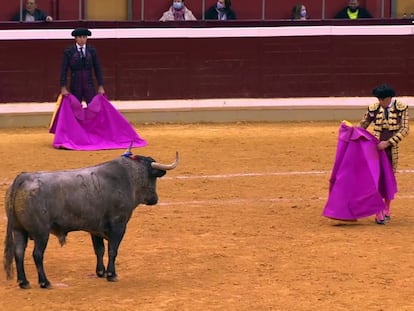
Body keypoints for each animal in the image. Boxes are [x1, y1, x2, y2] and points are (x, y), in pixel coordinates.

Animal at [3, 154, 178, 290]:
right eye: (153, 177)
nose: (155, 199)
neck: (128, 177)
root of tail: (24, 177)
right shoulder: (119, 226)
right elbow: (112, 250)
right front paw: (111, 274)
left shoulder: (95, 229)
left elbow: (99, 250)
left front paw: (100, 272)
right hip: (41, 233)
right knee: (37, 255)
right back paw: (45, 283)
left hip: (19, 230)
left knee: (19, 253)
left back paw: (24, 282)